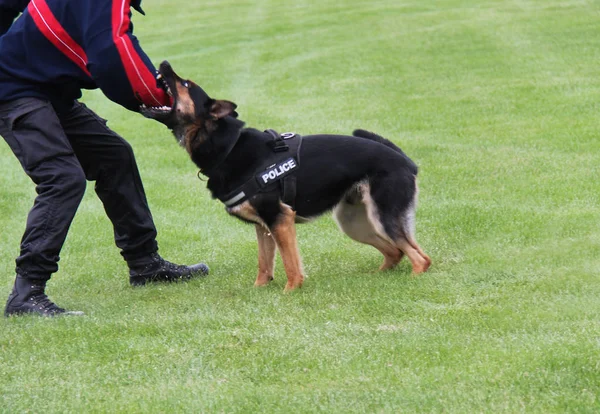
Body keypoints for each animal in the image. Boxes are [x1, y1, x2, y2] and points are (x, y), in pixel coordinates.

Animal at [142, 61, 432, 292]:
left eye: (185, 83)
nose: (164, 63)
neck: (227, 146)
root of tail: (406, 161)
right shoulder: (264, 226)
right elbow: (264, 263)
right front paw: (259, 290)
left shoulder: (280, 219)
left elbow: (290, 263)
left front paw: (291, 291)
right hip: (353, 222)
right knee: (396, 251)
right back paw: (378, 277)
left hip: (381, 217)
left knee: (420, 257)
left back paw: (413, 279)